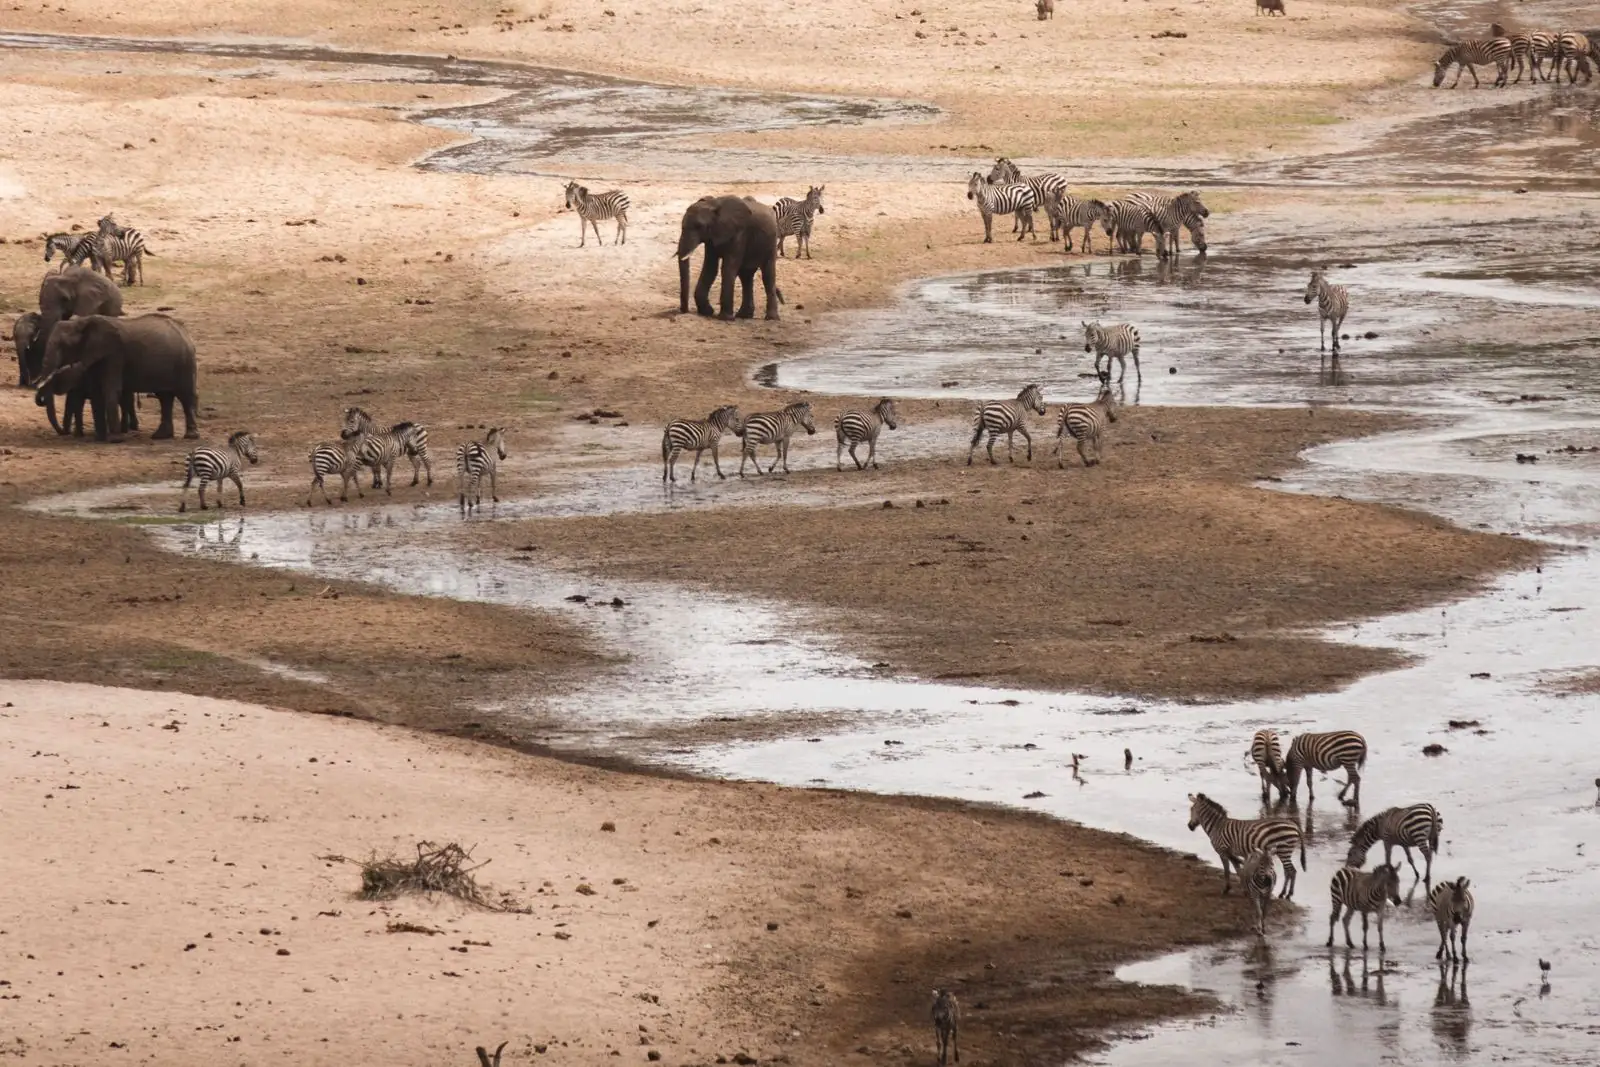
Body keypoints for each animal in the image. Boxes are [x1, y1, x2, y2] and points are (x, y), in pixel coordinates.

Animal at [34, 314, 199, 441]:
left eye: (63, 346)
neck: (83, 321)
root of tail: (186, 333)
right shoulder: (94, 356)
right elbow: (96, 392)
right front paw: (99, 439)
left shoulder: (114, 354)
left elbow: (110, 389)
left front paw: (115, 440)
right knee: (165, 398)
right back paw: (160, 436)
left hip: (185, 362)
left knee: (185, 396)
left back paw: (190, 436)